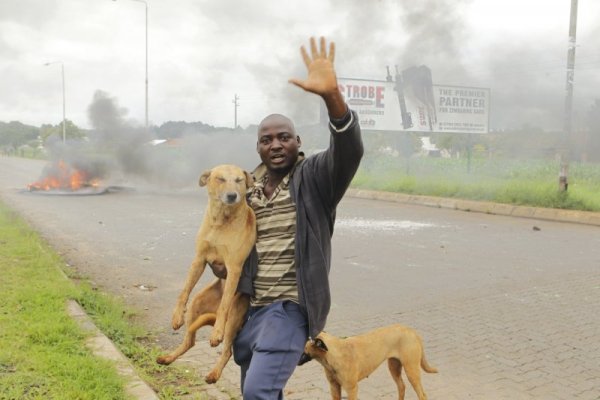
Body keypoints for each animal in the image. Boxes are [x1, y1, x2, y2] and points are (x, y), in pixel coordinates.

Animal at [168, 164, 256, 348]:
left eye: (239, 180)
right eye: (220, 179)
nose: (232, 196)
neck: (220, 223)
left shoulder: (234, 268)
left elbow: (224, 305)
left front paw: (217, 332)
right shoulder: (199, 260)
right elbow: (185, 290)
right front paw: (177, 314)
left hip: (234, 315)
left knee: (226, 343)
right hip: (196, 304)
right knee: (189, 340)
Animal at [300, 324, 436, 400]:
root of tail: (412, 331)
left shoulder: (352, 389)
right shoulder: (334, 387)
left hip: (411, 370)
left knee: (422, 395)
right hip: (394, 367)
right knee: (401, 387)